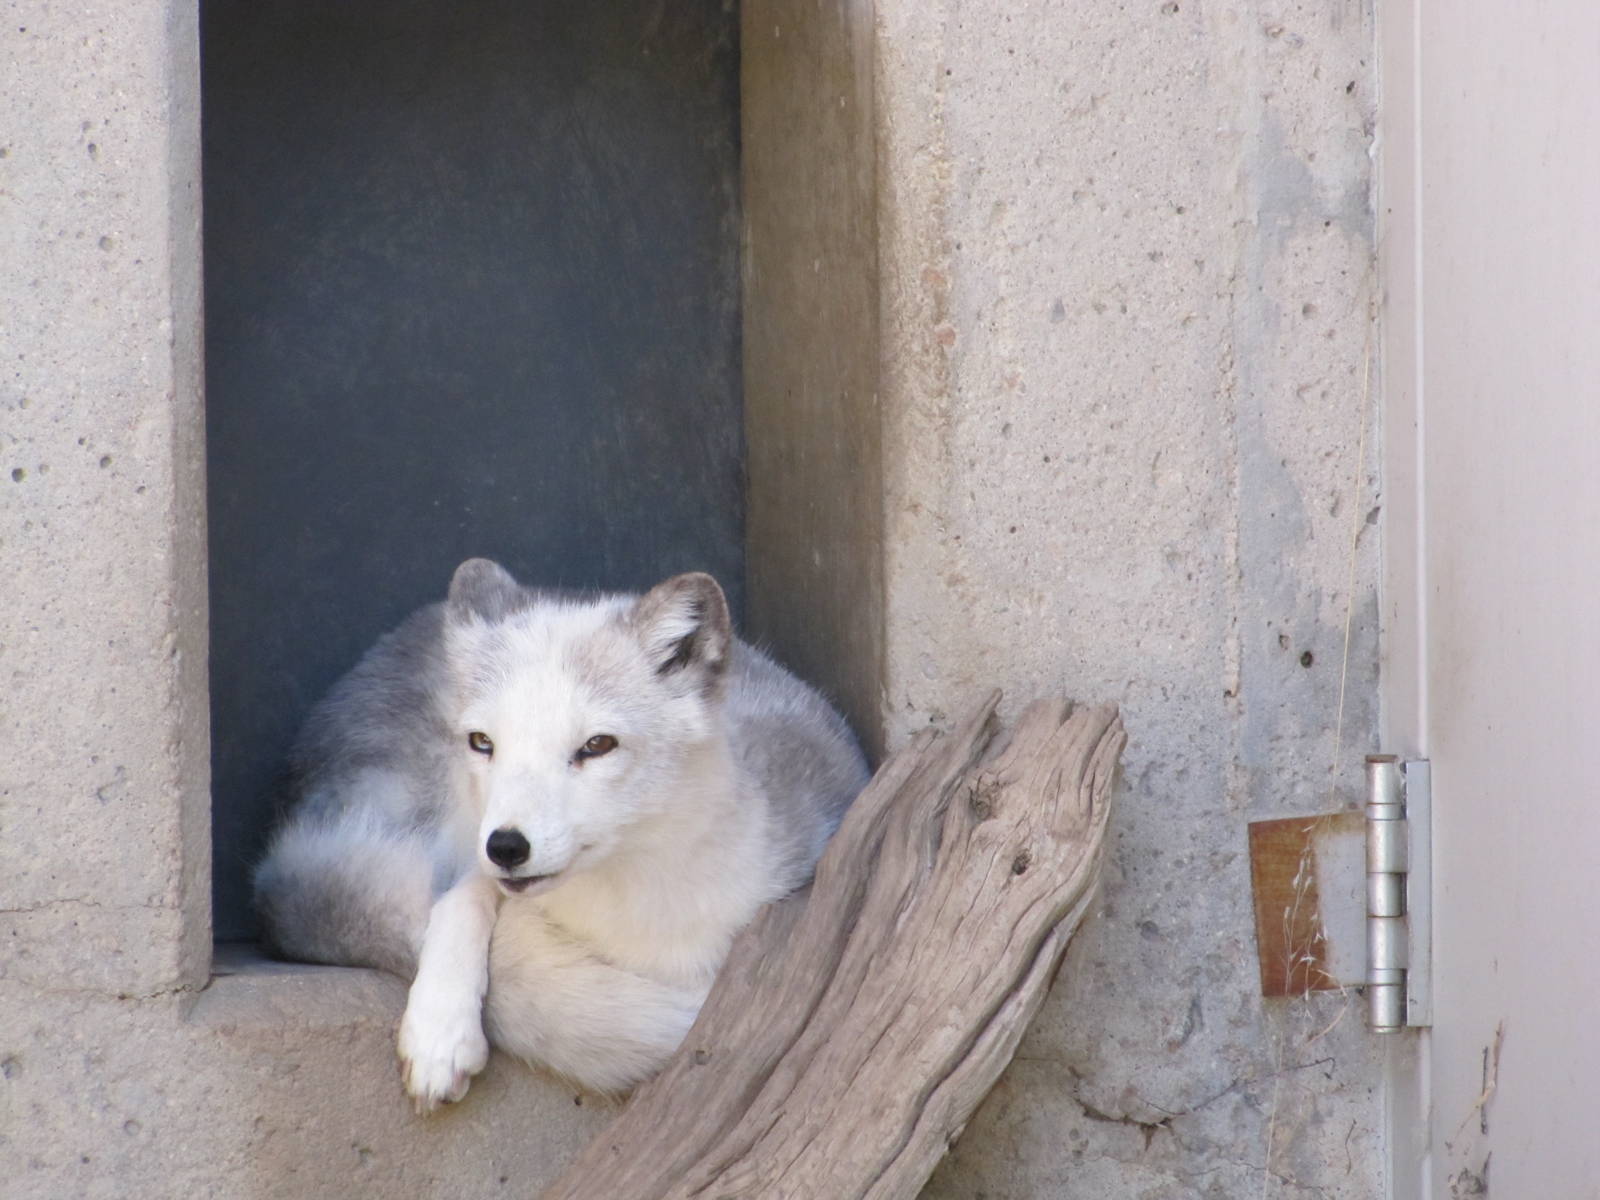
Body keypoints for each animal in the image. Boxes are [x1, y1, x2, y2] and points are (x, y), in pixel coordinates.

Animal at [253, 558, 869, 1111]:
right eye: (482, 741)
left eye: (597, 745)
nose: (506, 846)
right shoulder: (477, 856)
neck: (615, 915)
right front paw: (439, 1033)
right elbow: (460, 897)